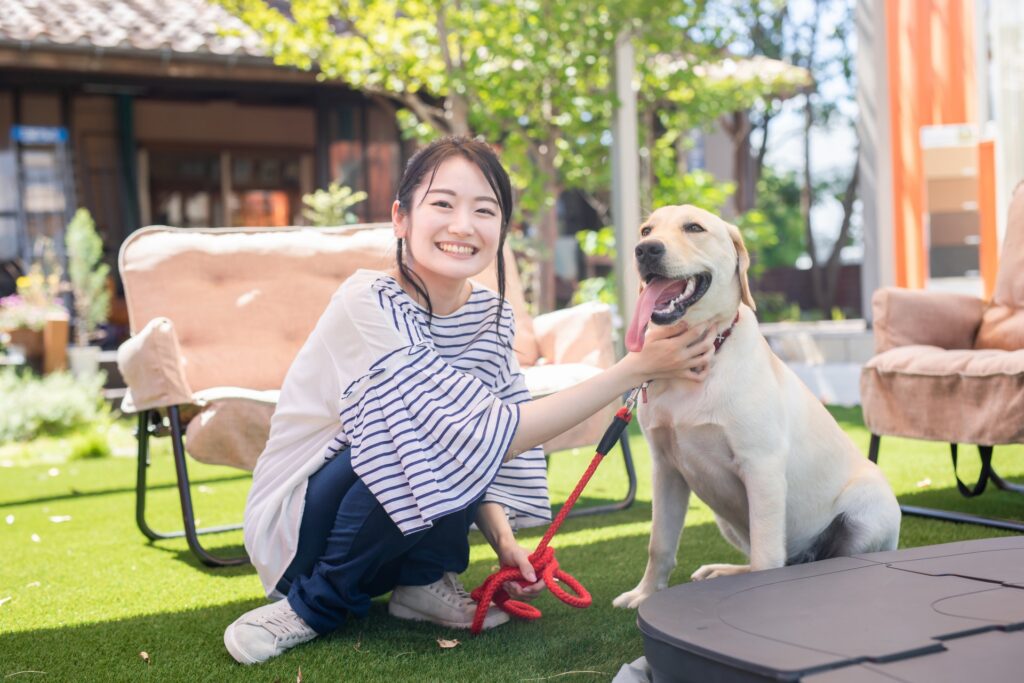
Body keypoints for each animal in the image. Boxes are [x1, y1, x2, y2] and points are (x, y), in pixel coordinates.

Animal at [610, 204, 901, 610]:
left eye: (694, 228)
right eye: (646, 231)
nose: (645, 250)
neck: (702, 359)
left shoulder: (761, 466)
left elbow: (766, 556)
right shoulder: (665, 470)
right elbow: (659, 544)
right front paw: (646, 593)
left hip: (868, 508)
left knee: (811, 560)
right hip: (726, 520)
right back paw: (721, 572)